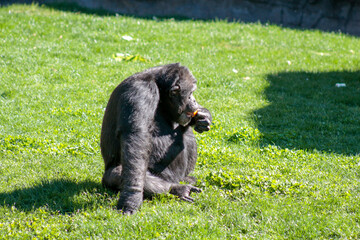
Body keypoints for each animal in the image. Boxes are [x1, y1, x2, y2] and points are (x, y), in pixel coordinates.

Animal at [100, 62, 212, 214]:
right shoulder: (140, 92)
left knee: (187, 133)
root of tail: (176, 179)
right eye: (190, 94)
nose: (194, 100)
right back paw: (176, 189)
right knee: (117, 172)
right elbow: (136, 137)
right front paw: (131, 198)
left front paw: (203, 116)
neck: (159, 89)